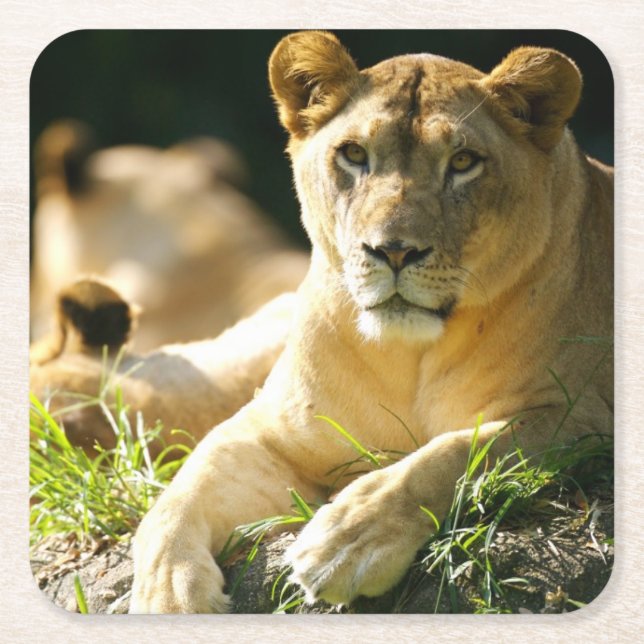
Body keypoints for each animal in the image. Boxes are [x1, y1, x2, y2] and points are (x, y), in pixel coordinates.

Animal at [129, 32, 613, 612]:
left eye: (464, 161)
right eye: (355, 154)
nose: (394, 251)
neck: (406, 355)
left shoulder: (578, 417)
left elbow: (454, 453)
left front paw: (346, 540)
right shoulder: (269, 429)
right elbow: (180, 491)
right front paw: (166, 594)